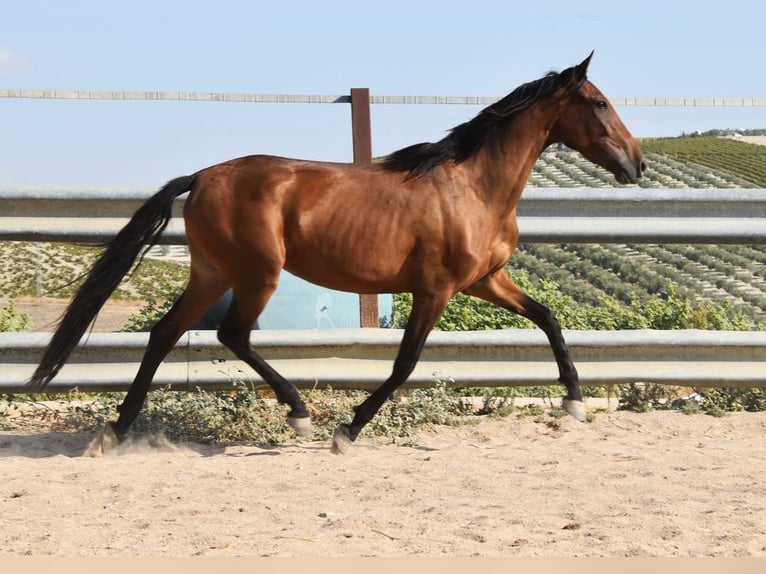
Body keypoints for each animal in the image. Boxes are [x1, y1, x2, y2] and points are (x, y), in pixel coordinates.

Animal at [27, 53, 644, 454]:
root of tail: (201, 177)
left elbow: (549, 319)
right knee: (231, 334)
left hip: (212, 273)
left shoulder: (485, 281)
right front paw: (347, 431)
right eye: (599, 102)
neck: (473, 186)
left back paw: (115, 432)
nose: (636, 164)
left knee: (165, 333)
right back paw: (298, 413)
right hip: (258, 273)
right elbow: (405, 364)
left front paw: (574, 402)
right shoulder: (437, 289)